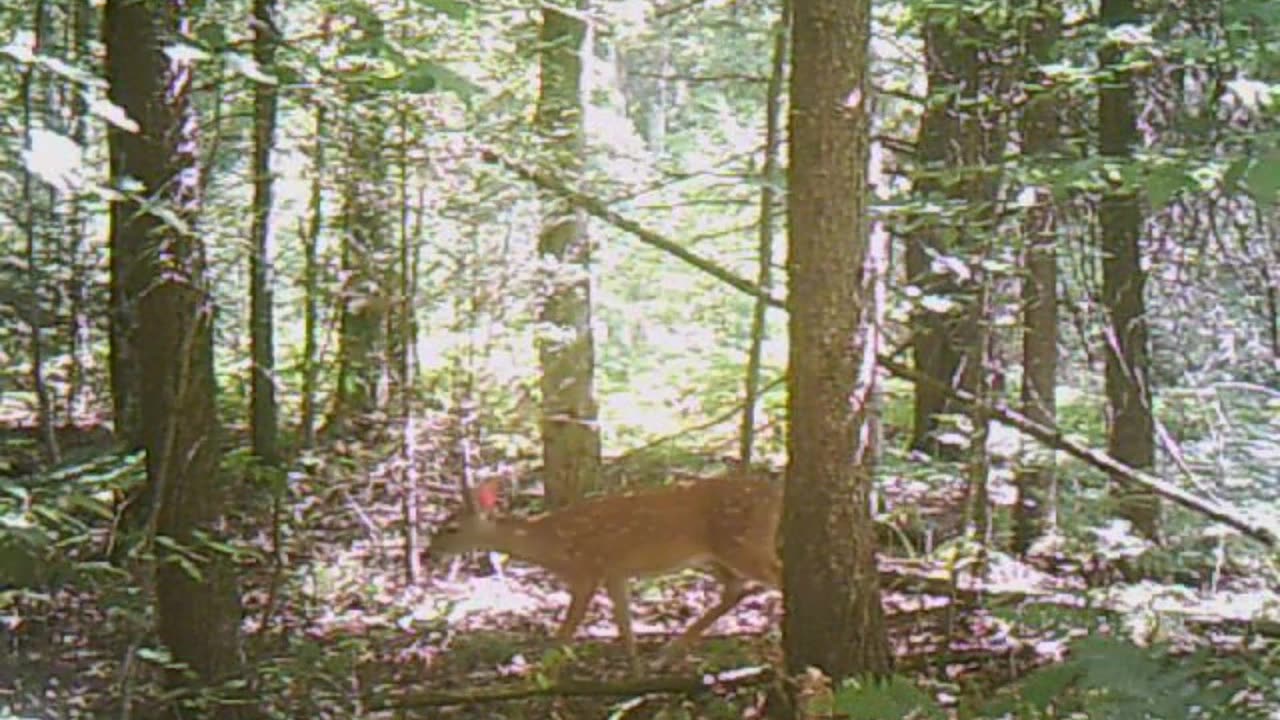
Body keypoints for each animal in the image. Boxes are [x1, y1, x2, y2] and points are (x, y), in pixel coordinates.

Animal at [426, 472, 782, 662]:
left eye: (450, 528)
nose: (429, 552)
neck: (551, 544)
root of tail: (773, 493)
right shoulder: (615, 573)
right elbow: (625, 627)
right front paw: (635, 672)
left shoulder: (588, 571)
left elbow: (565, 633)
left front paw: (537, 675)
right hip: (713, 555)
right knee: (735, 589)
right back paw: (669, 652)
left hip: (743, 543)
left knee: (775, 577)